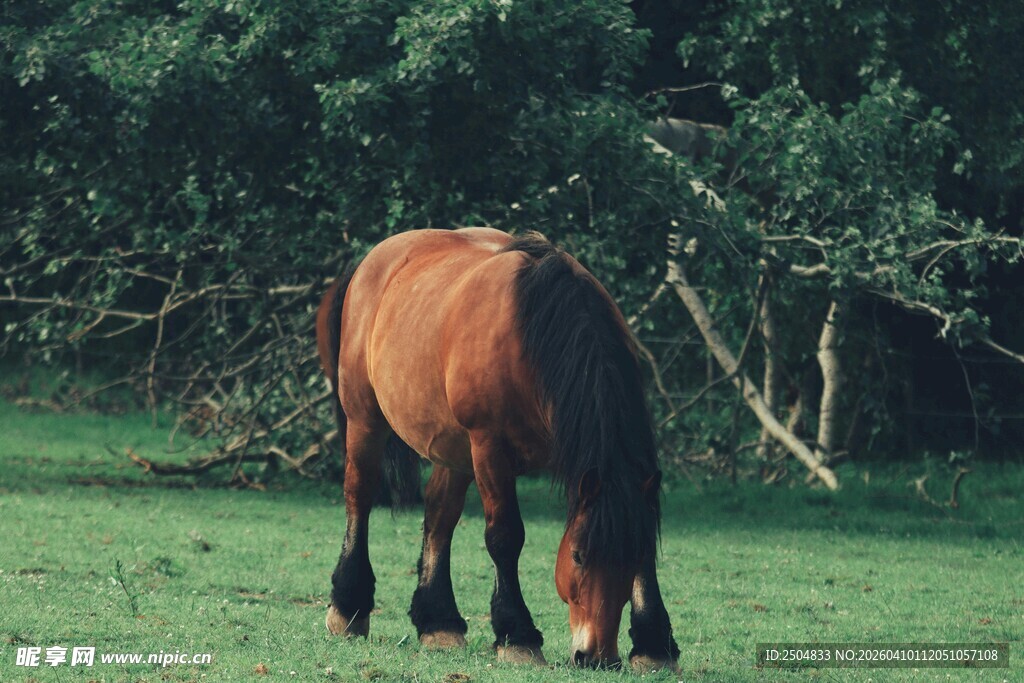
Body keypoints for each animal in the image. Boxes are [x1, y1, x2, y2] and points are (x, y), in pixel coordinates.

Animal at [315, 228, 679, 671]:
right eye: (577, 556)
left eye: (629, 557)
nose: (597, 656)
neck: (534, 334)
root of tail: (372, 261)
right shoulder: (490, 447)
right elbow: (505, 536)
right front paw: (517, 635)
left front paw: (654, 645)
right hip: (365, 419)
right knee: (360, 495)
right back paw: (348, 608)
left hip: (453, 447)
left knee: (439, 515)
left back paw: (439, 623)